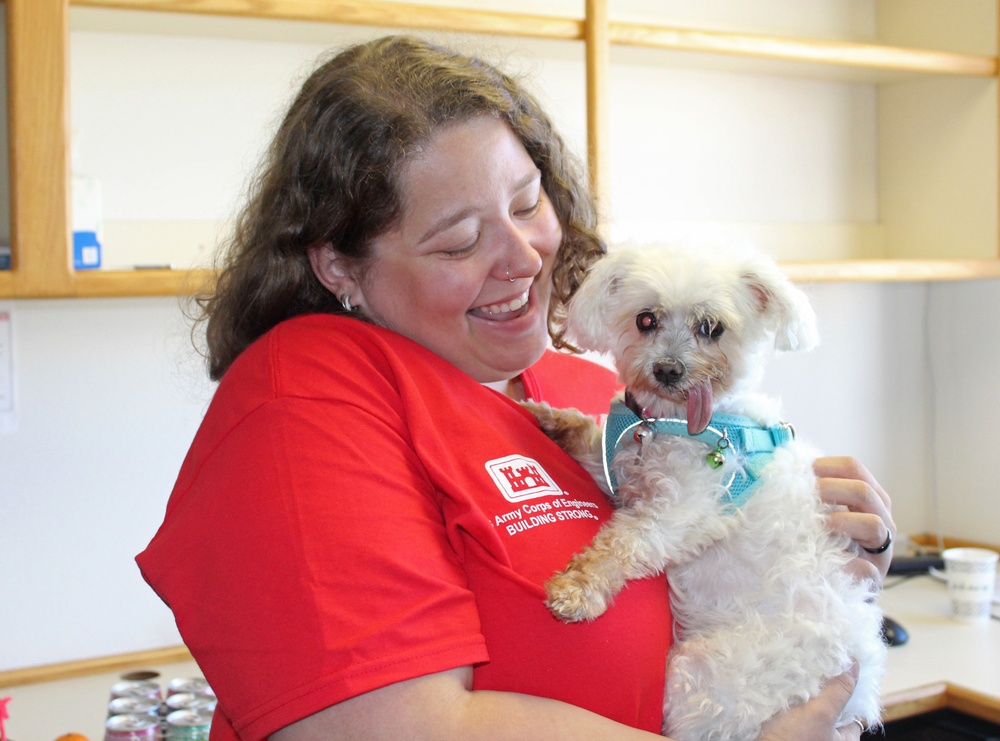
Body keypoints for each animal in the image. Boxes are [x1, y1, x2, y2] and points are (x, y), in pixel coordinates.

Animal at [528, 243, 888, 740]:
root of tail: (860, 691)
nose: (668, 370)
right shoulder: (621, 469)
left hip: (704, 676)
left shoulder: (683, 510)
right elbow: (588, 437)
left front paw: (577, 589)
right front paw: (548, 418)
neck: (668, 424)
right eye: (646, 319)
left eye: (711, 328)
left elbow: (622, 543)